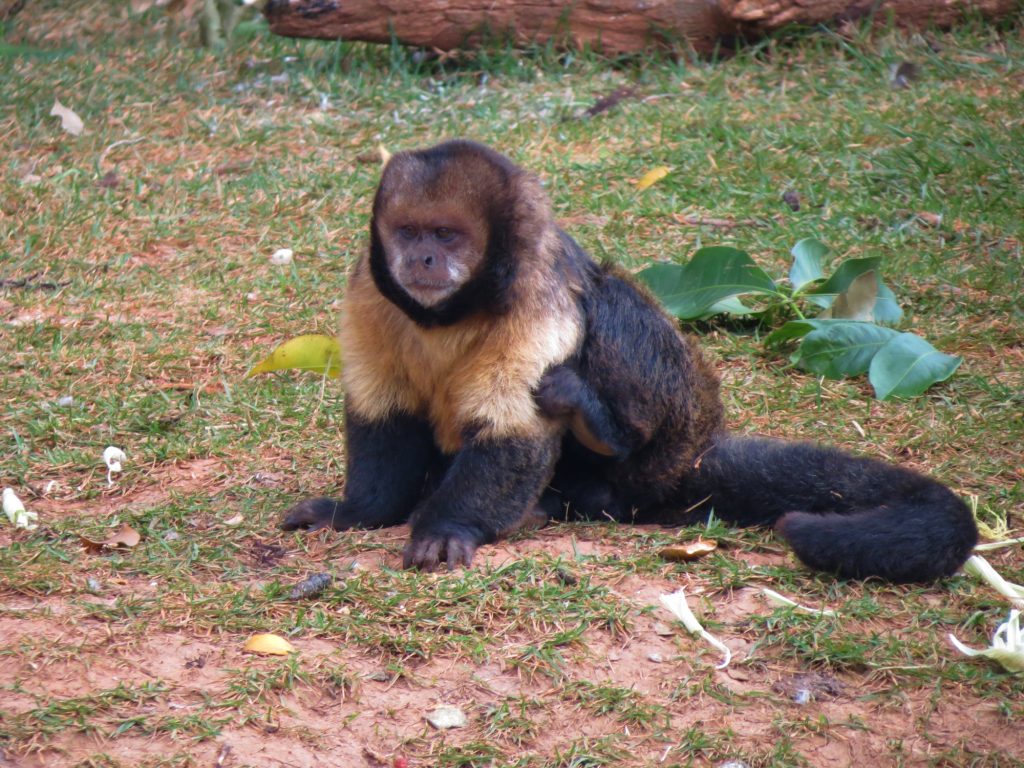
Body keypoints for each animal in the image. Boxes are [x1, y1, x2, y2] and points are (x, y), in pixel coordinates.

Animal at [278, 140, 974, 581]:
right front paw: (360, 513)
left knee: (606, 301)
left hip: (674, 426)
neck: (450, 313)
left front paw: (449, 527)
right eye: (409, 233)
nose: (422, 259)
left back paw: (597, 444)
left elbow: (513, 432)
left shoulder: (536, 290)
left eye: (447, 236)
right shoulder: (370, 290)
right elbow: (384, 418)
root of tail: (693, 454)